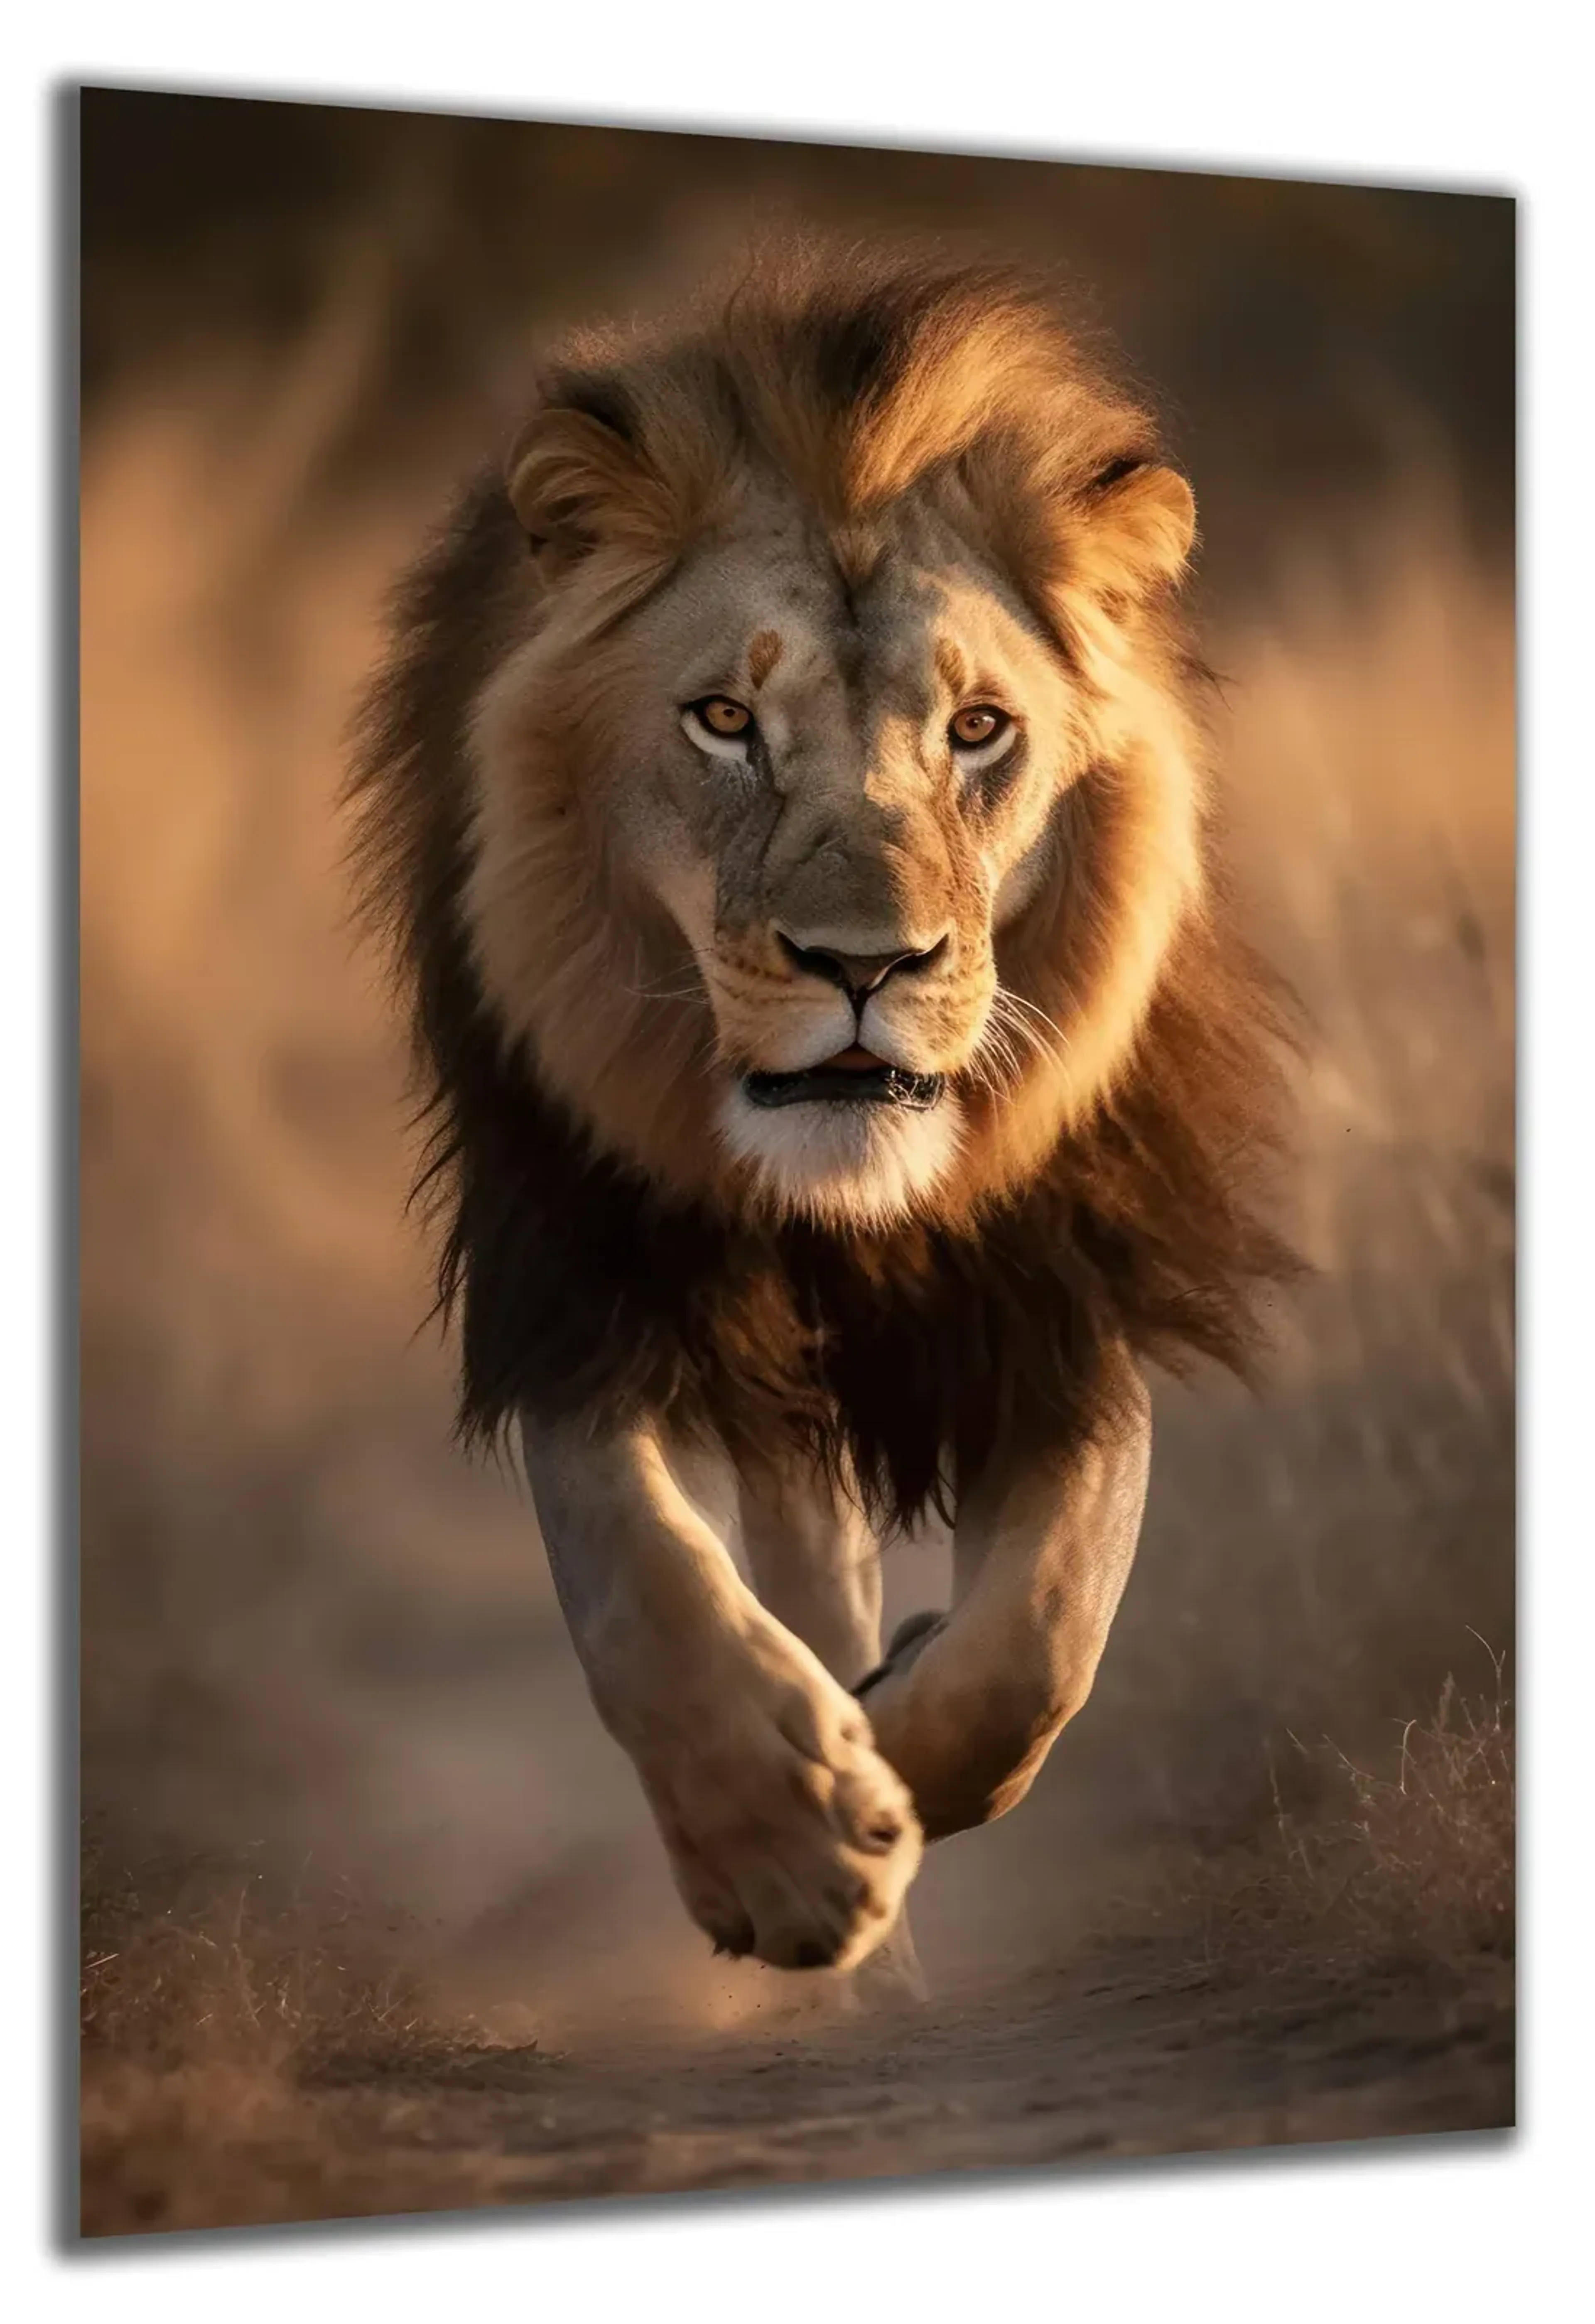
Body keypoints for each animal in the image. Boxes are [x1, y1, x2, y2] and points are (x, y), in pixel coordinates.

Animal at [348, 241, 1299, 1981]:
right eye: (725, 719)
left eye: (980, 728)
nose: (866, 964)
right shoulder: (577, 1271)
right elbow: (639, 1573)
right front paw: (790, 1846)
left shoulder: (1064, 1285)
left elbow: (1044, 1632)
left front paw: (892, 1754)